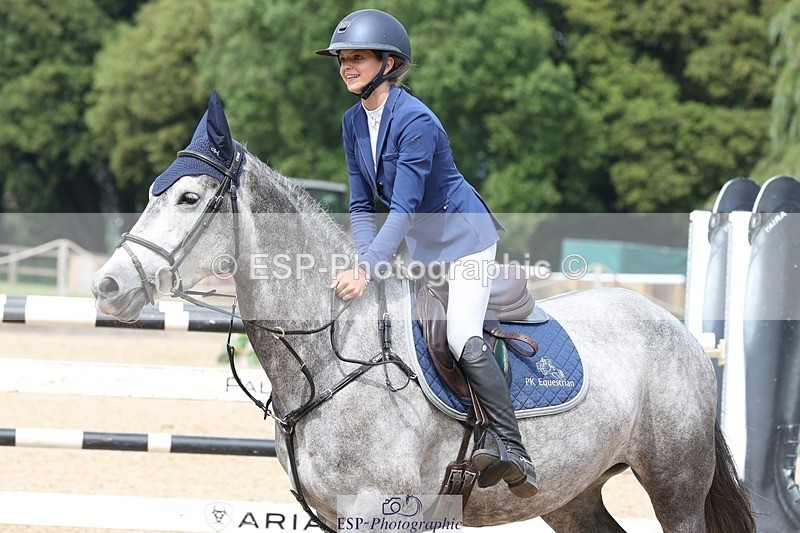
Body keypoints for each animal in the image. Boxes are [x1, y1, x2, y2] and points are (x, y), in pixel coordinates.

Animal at [92, 95, 753, 532]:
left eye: (188, 198)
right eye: (153, 192)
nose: (108, 285)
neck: (329, 358)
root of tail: (677, 329)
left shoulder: (379, 511)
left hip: (674, 486)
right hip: (573, 493)